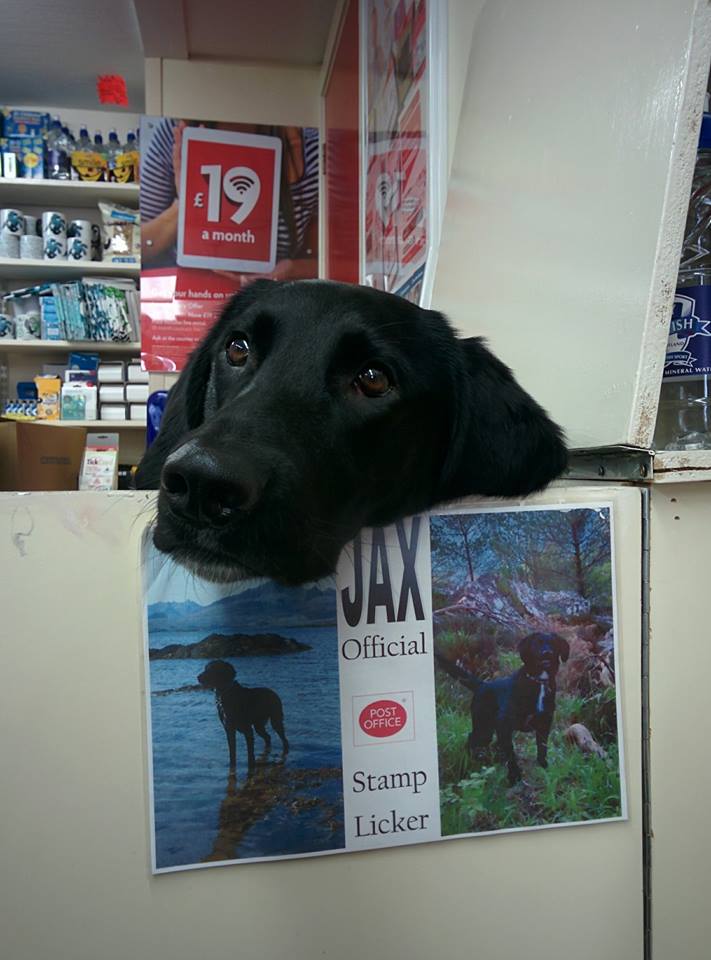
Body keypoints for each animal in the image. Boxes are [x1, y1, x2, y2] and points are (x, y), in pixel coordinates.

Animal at [436, 632, 572, 784]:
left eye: (554, 643)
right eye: (537, 642)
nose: (547, 652)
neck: (539, 682)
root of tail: (482, 684)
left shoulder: (544, 723)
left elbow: (542, 747)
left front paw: (543, 766)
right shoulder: (504, 723)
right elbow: (510, 752)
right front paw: (514, 775)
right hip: (483, 727)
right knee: (472, 739)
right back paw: (466, 762)